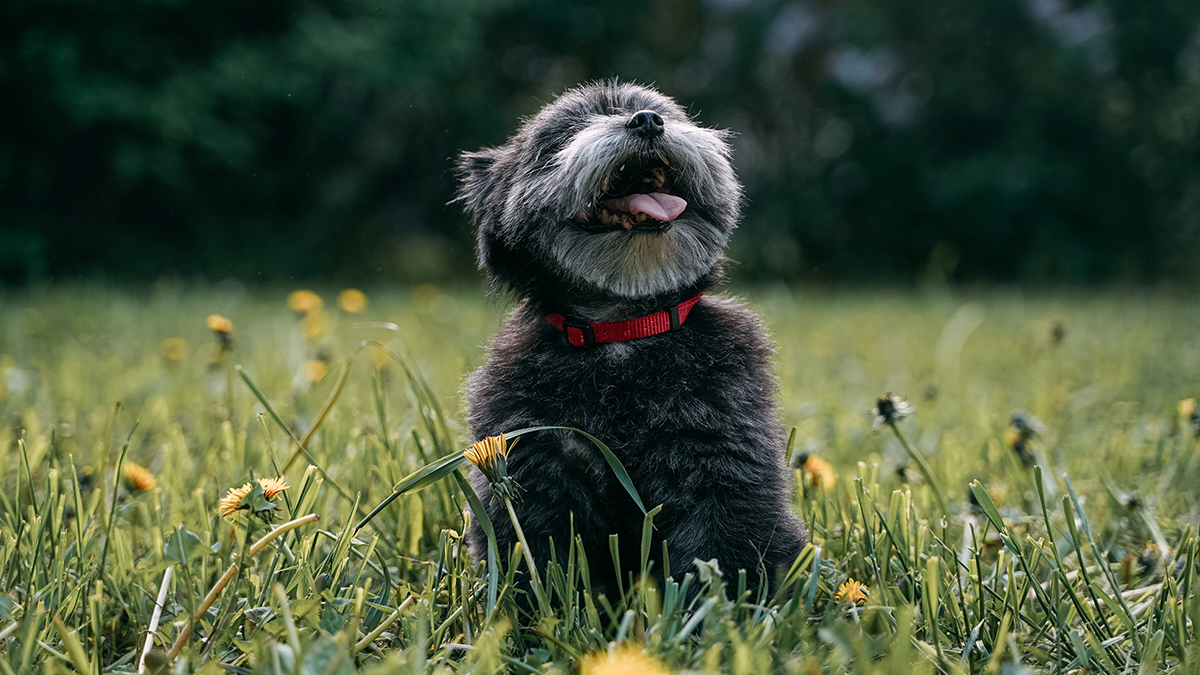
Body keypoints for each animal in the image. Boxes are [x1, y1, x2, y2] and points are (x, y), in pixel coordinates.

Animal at [453, 79, 811, 598]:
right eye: (565, 134)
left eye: (666, 113)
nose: (646, 121)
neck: (620, 329)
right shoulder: (537, 469)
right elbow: (543, 565)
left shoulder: (720, 464)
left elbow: (724, 555)